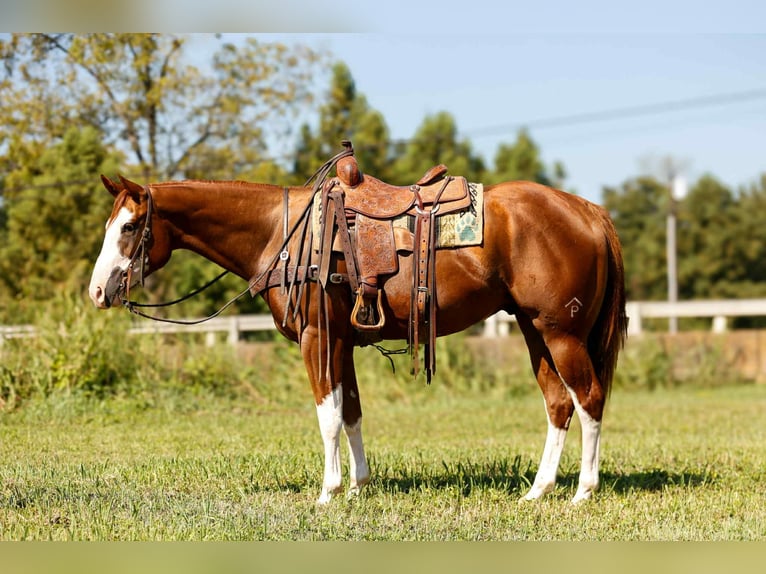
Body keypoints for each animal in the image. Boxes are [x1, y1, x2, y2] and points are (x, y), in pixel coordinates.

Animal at [88, 159, 627, 505]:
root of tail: (587, 210)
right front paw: (357, 485)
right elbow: (350, 412)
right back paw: (538, 490)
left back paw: (584, 491)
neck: (283, 234)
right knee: (558, 404)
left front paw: (327, 492)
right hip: (535, 332)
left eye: (130, 227)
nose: (98, 291)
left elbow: (326, 415)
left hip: (562, 334)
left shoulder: (318, 339)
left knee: (589, 399)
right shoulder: (342, 342)